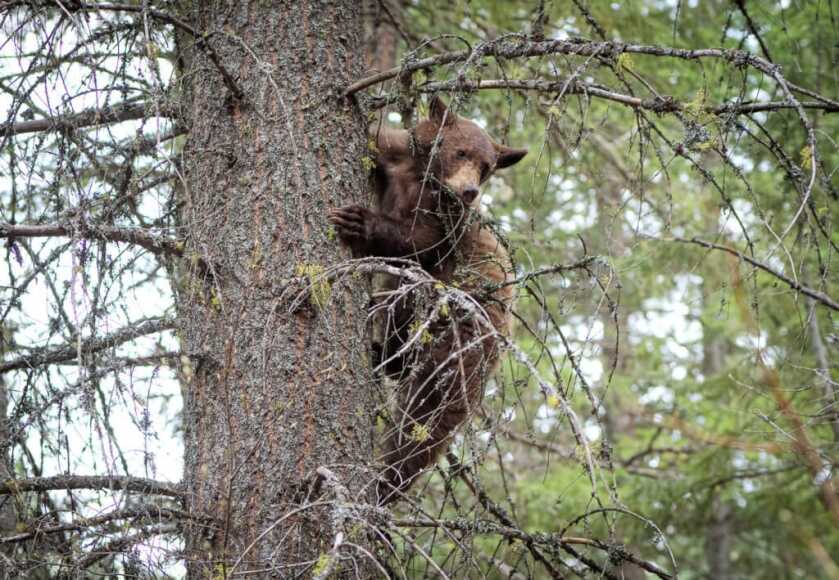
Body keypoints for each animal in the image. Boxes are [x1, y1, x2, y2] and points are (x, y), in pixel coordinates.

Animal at [329, 96, 527, 503]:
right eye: (462, 151)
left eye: (486, 168)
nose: (469, 191)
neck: (422, 178)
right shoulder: (394, 159)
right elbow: (378, 140)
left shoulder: (447, 223)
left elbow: (418, 240)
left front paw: (359, 221)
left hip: (452, 317)